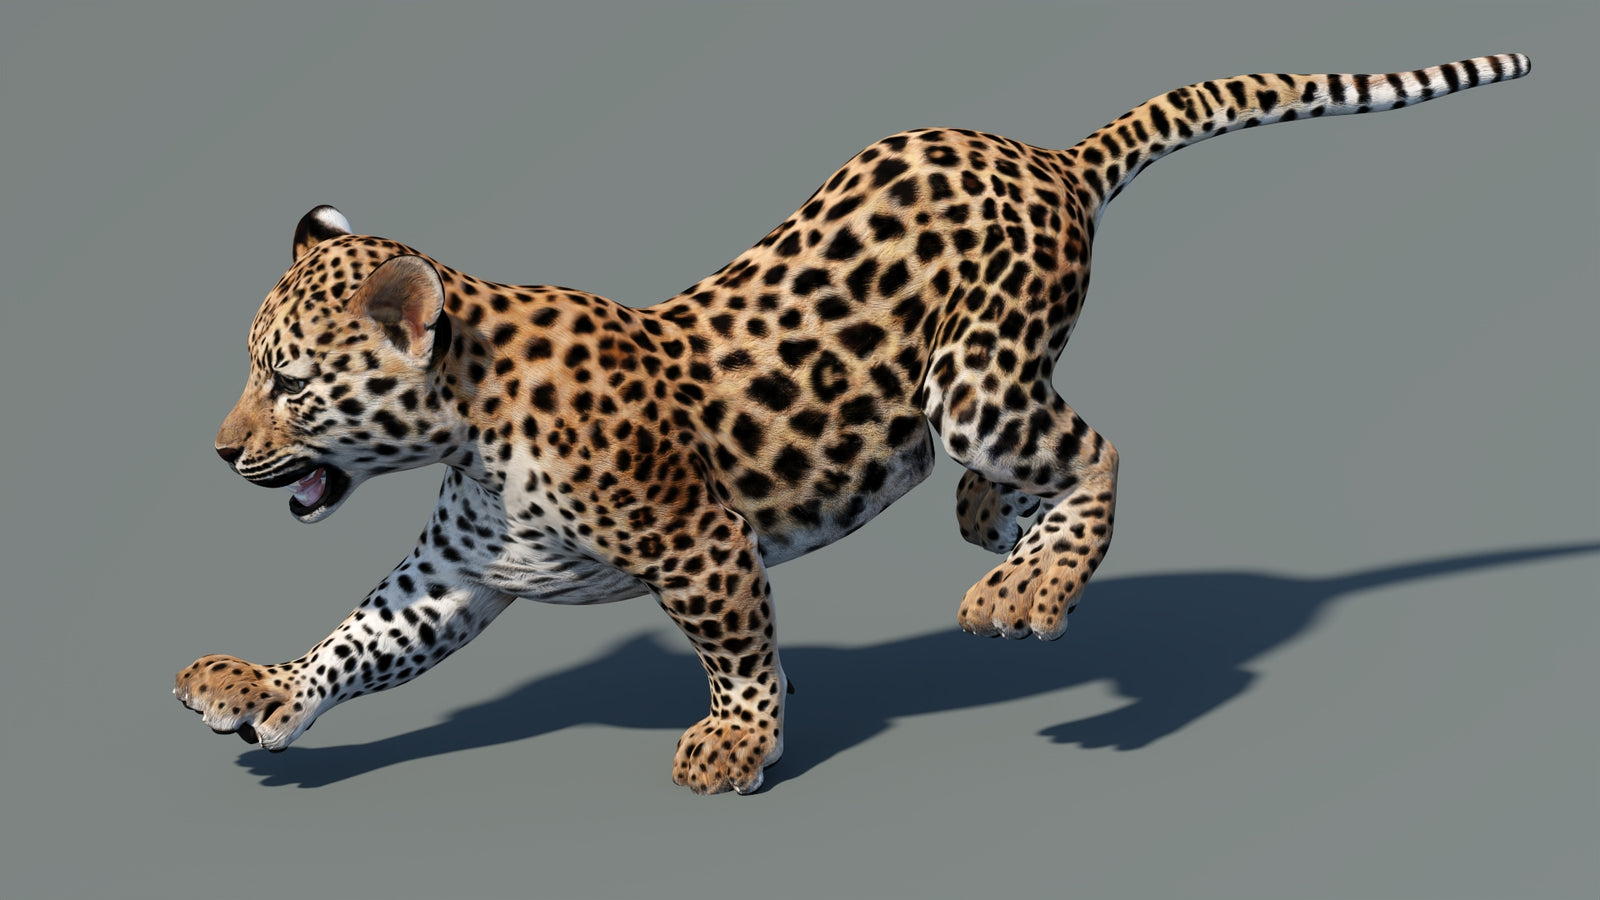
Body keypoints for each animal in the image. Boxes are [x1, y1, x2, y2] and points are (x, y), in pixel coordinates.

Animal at [176, 54, 1530, 794]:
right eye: (253, 371)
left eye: (288, 381)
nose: (224, 452)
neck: (466, 421)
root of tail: (1049, 156)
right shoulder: (457, 575)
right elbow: (361, 638)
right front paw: (265, 690)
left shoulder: (699, 543)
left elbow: (733, 649)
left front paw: (736, 744)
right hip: (973, 389)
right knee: (1023, 460)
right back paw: (993, 523)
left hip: (977, 379)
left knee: (1094, 449)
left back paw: (1027, 591)